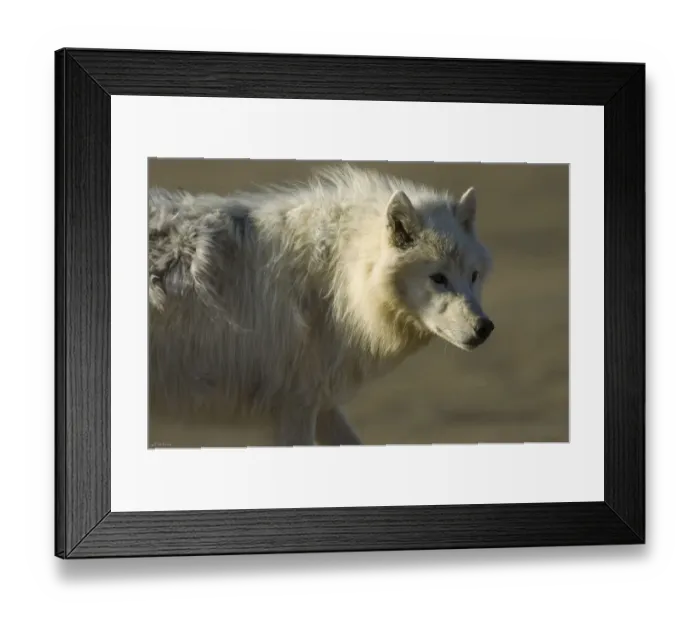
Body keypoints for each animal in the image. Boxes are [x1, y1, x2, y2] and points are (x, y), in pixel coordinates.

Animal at [148, 164, 494, 447]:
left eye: (473, 276)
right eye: (438, 278)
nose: (485, 328)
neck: (337, 278)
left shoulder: (323, 405)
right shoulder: (294, 407)